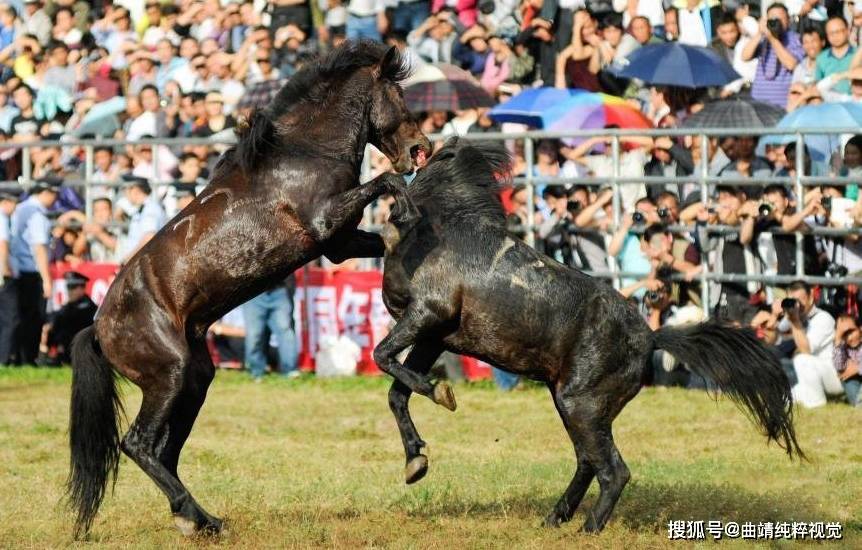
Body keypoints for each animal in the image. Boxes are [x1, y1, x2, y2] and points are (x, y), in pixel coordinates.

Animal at [67, 41, 432, 540]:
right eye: (398, 94)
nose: (422, 149)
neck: (305, 152)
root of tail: (98, 328)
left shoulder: (337, 244)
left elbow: (385, 236)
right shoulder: (326, 224)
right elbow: (385, 182)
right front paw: (412, 212)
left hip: (195, 379)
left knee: (165, 451)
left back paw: (198, 518)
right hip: (169, 375)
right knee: (139, 444)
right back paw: (195, 515)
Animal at [374, 138, 808, 536]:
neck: (440, 230)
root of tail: (652, 338)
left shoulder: (429, 313)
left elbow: (384, 358)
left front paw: (441, 394)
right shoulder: (434, 336)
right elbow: (396, 392)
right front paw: (415, 461)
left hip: (580, 404)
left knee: (613, 470)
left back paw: (589, 528)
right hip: (577, 404)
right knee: (588, 461)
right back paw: (555, 518)